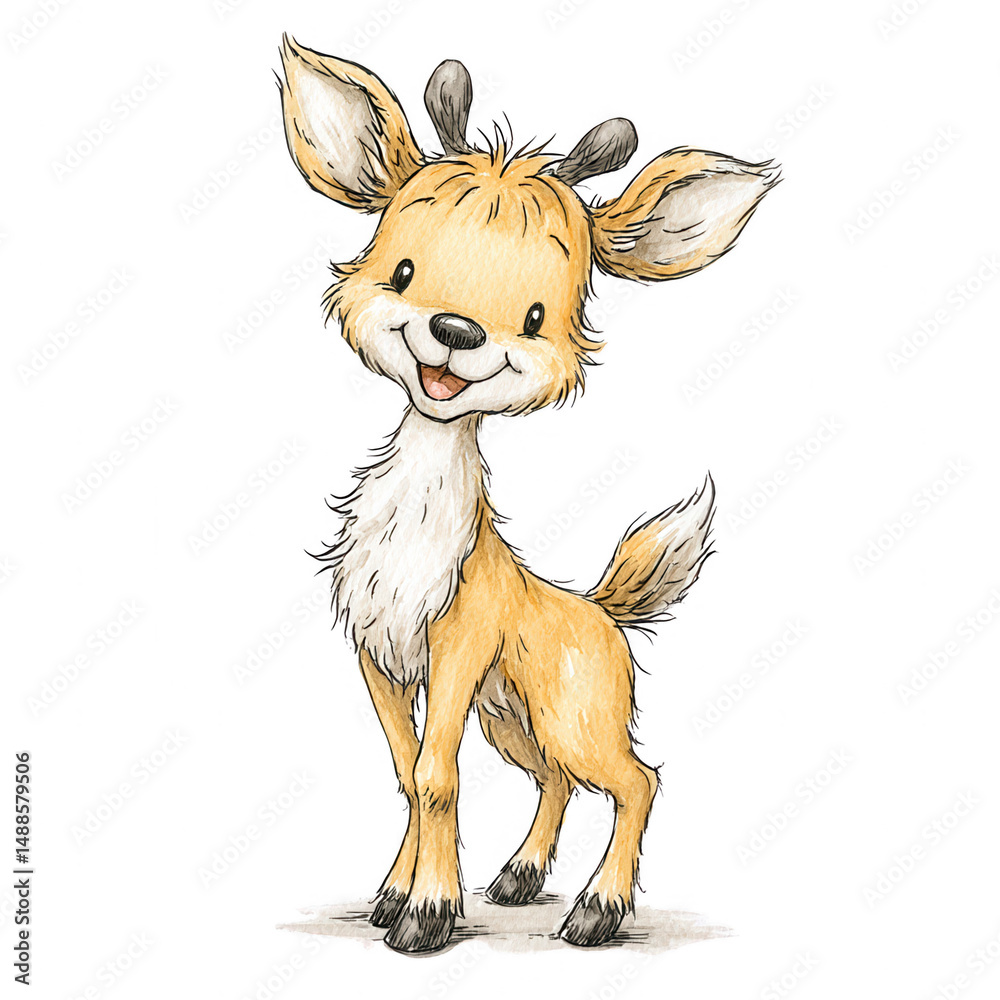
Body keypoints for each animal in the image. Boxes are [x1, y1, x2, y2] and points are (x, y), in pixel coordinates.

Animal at [277, 35, 778, 953]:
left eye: (538, 316)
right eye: (404, 270)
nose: (456, 329)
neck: (415, 535)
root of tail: (604, 609)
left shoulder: (456, 643)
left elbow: (436, 775)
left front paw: (428, 915)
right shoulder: (379, 651)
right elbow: (408, 771)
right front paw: (396, 895)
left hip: (571, 716)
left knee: (635, 779)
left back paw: (597, 910)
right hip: (513, 718)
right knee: (557, 780)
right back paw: (518, 877)